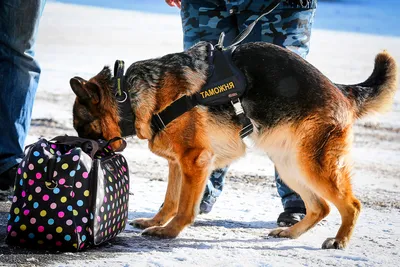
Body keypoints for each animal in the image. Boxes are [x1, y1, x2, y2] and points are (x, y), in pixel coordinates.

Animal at [69, 42, 396, 249]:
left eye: (83, 128)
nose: (85, 150)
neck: (127, 93)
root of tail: (341, 90)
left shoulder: (195, 160)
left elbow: (185, 207)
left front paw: (168, 232)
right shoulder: (177, 163)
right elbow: (170, 200)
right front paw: (156, 221)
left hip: (312, 165)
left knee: (351, 205)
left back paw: (340, 240)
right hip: (290, 166)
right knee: (321, 207)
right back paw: (291, 232)